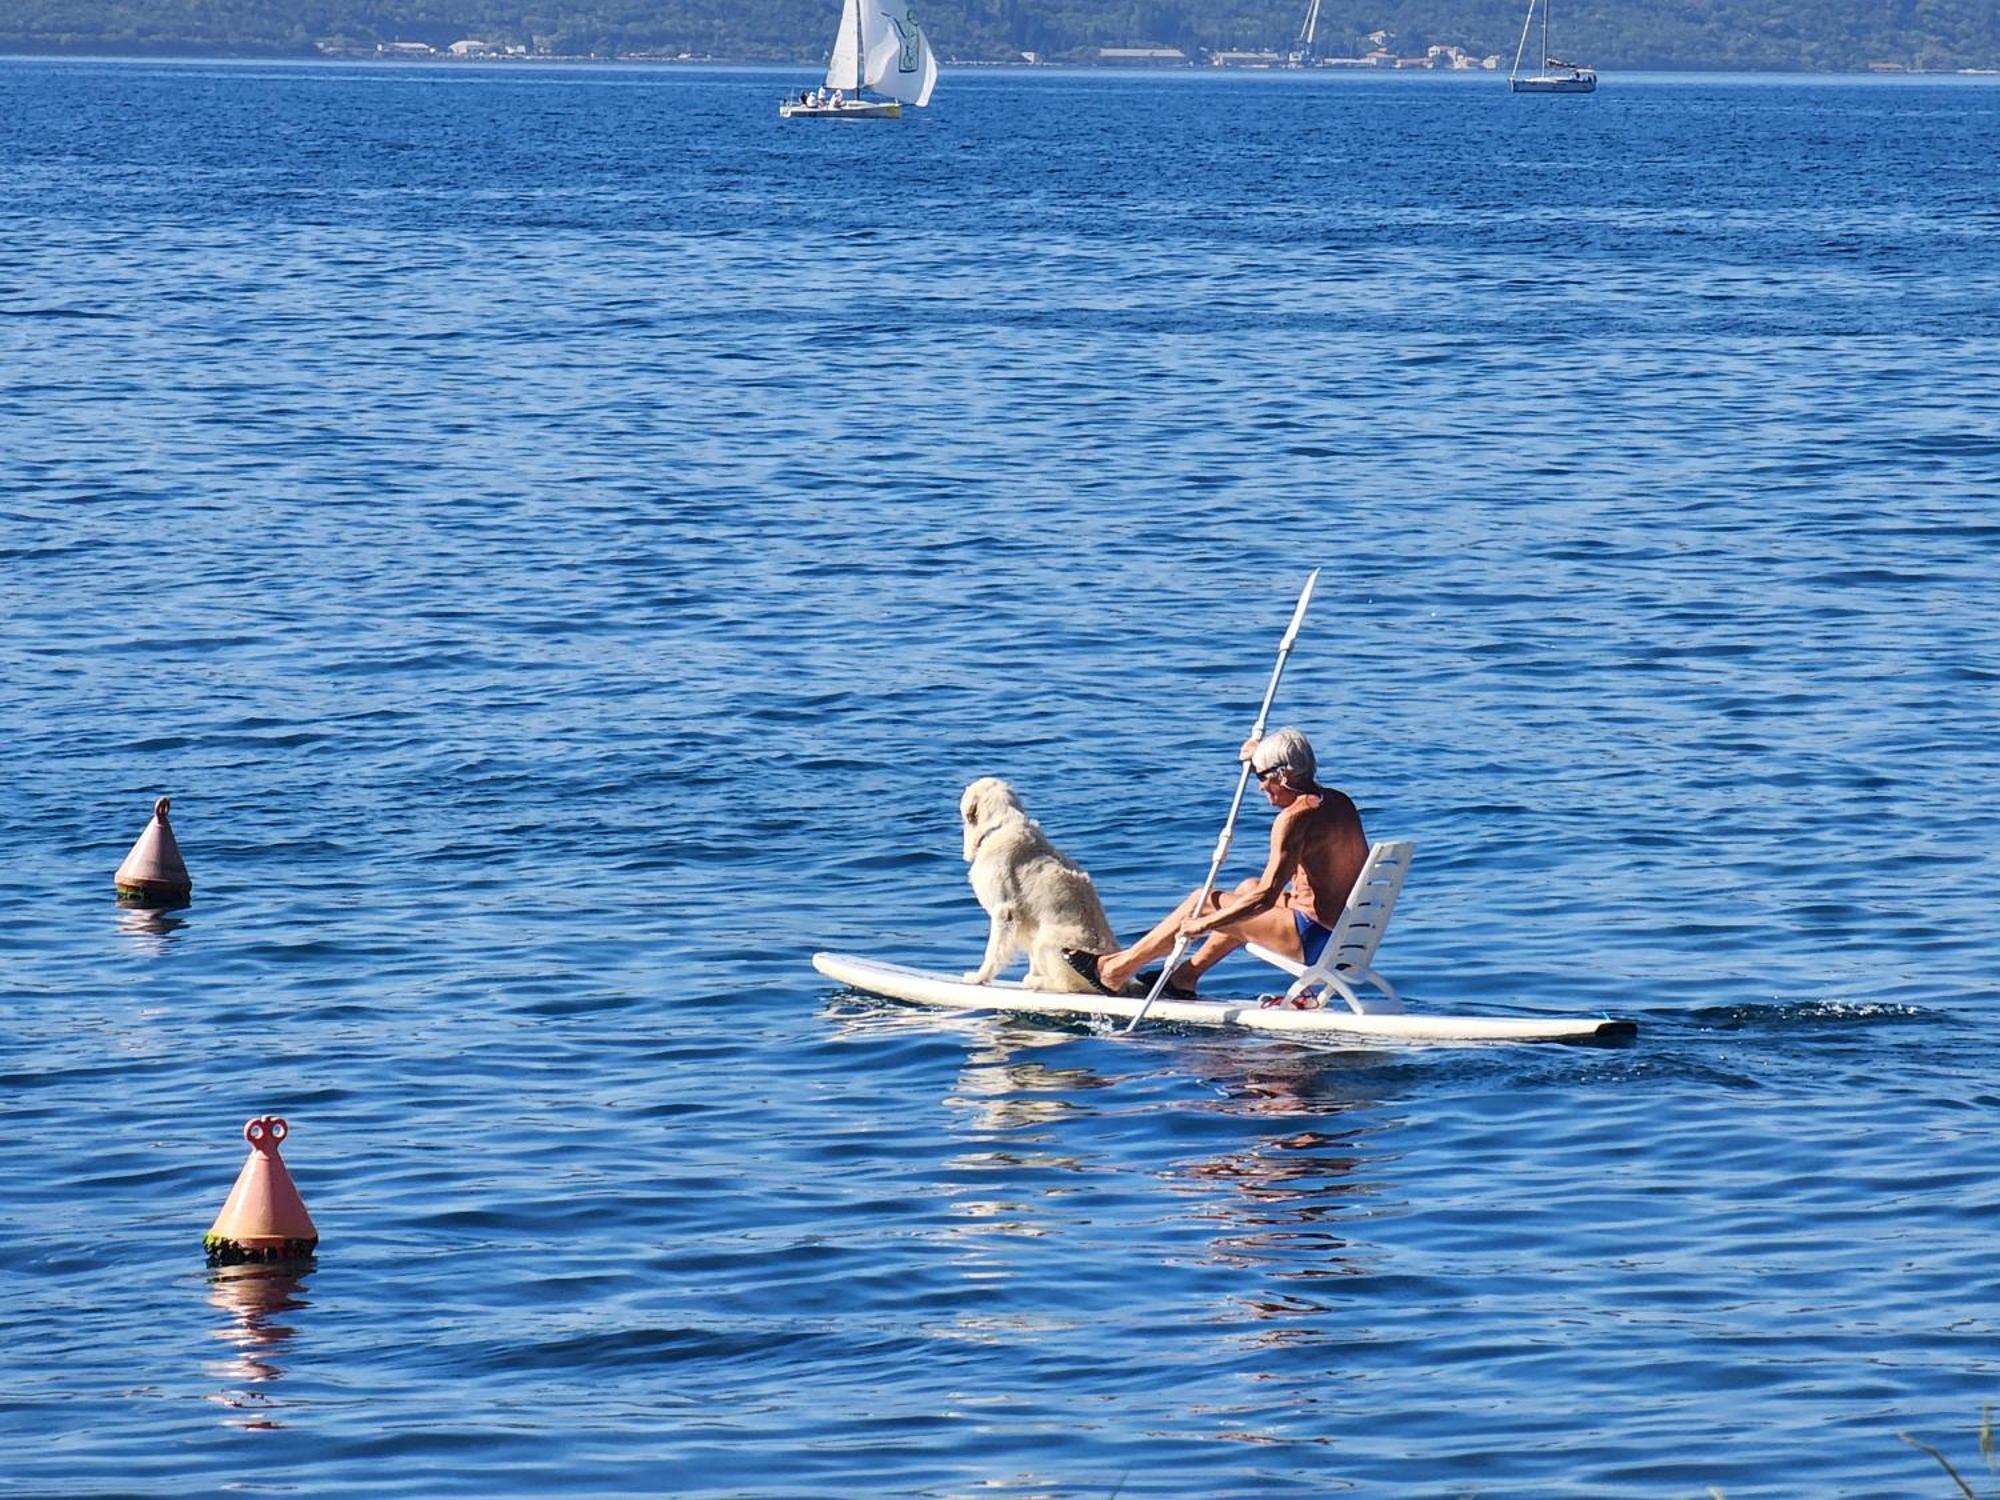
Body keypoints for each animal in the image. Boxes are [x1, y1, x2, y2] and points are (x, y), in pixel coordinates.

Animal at [960, 780, 1120, 992]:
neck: (1000, 826)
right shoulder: (1026, 922)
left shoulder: (1004, 911)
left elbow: (994, 950)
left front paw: (979, 977)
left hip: (1051, 939)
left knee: (1068, 985)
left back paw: (1038, 981)